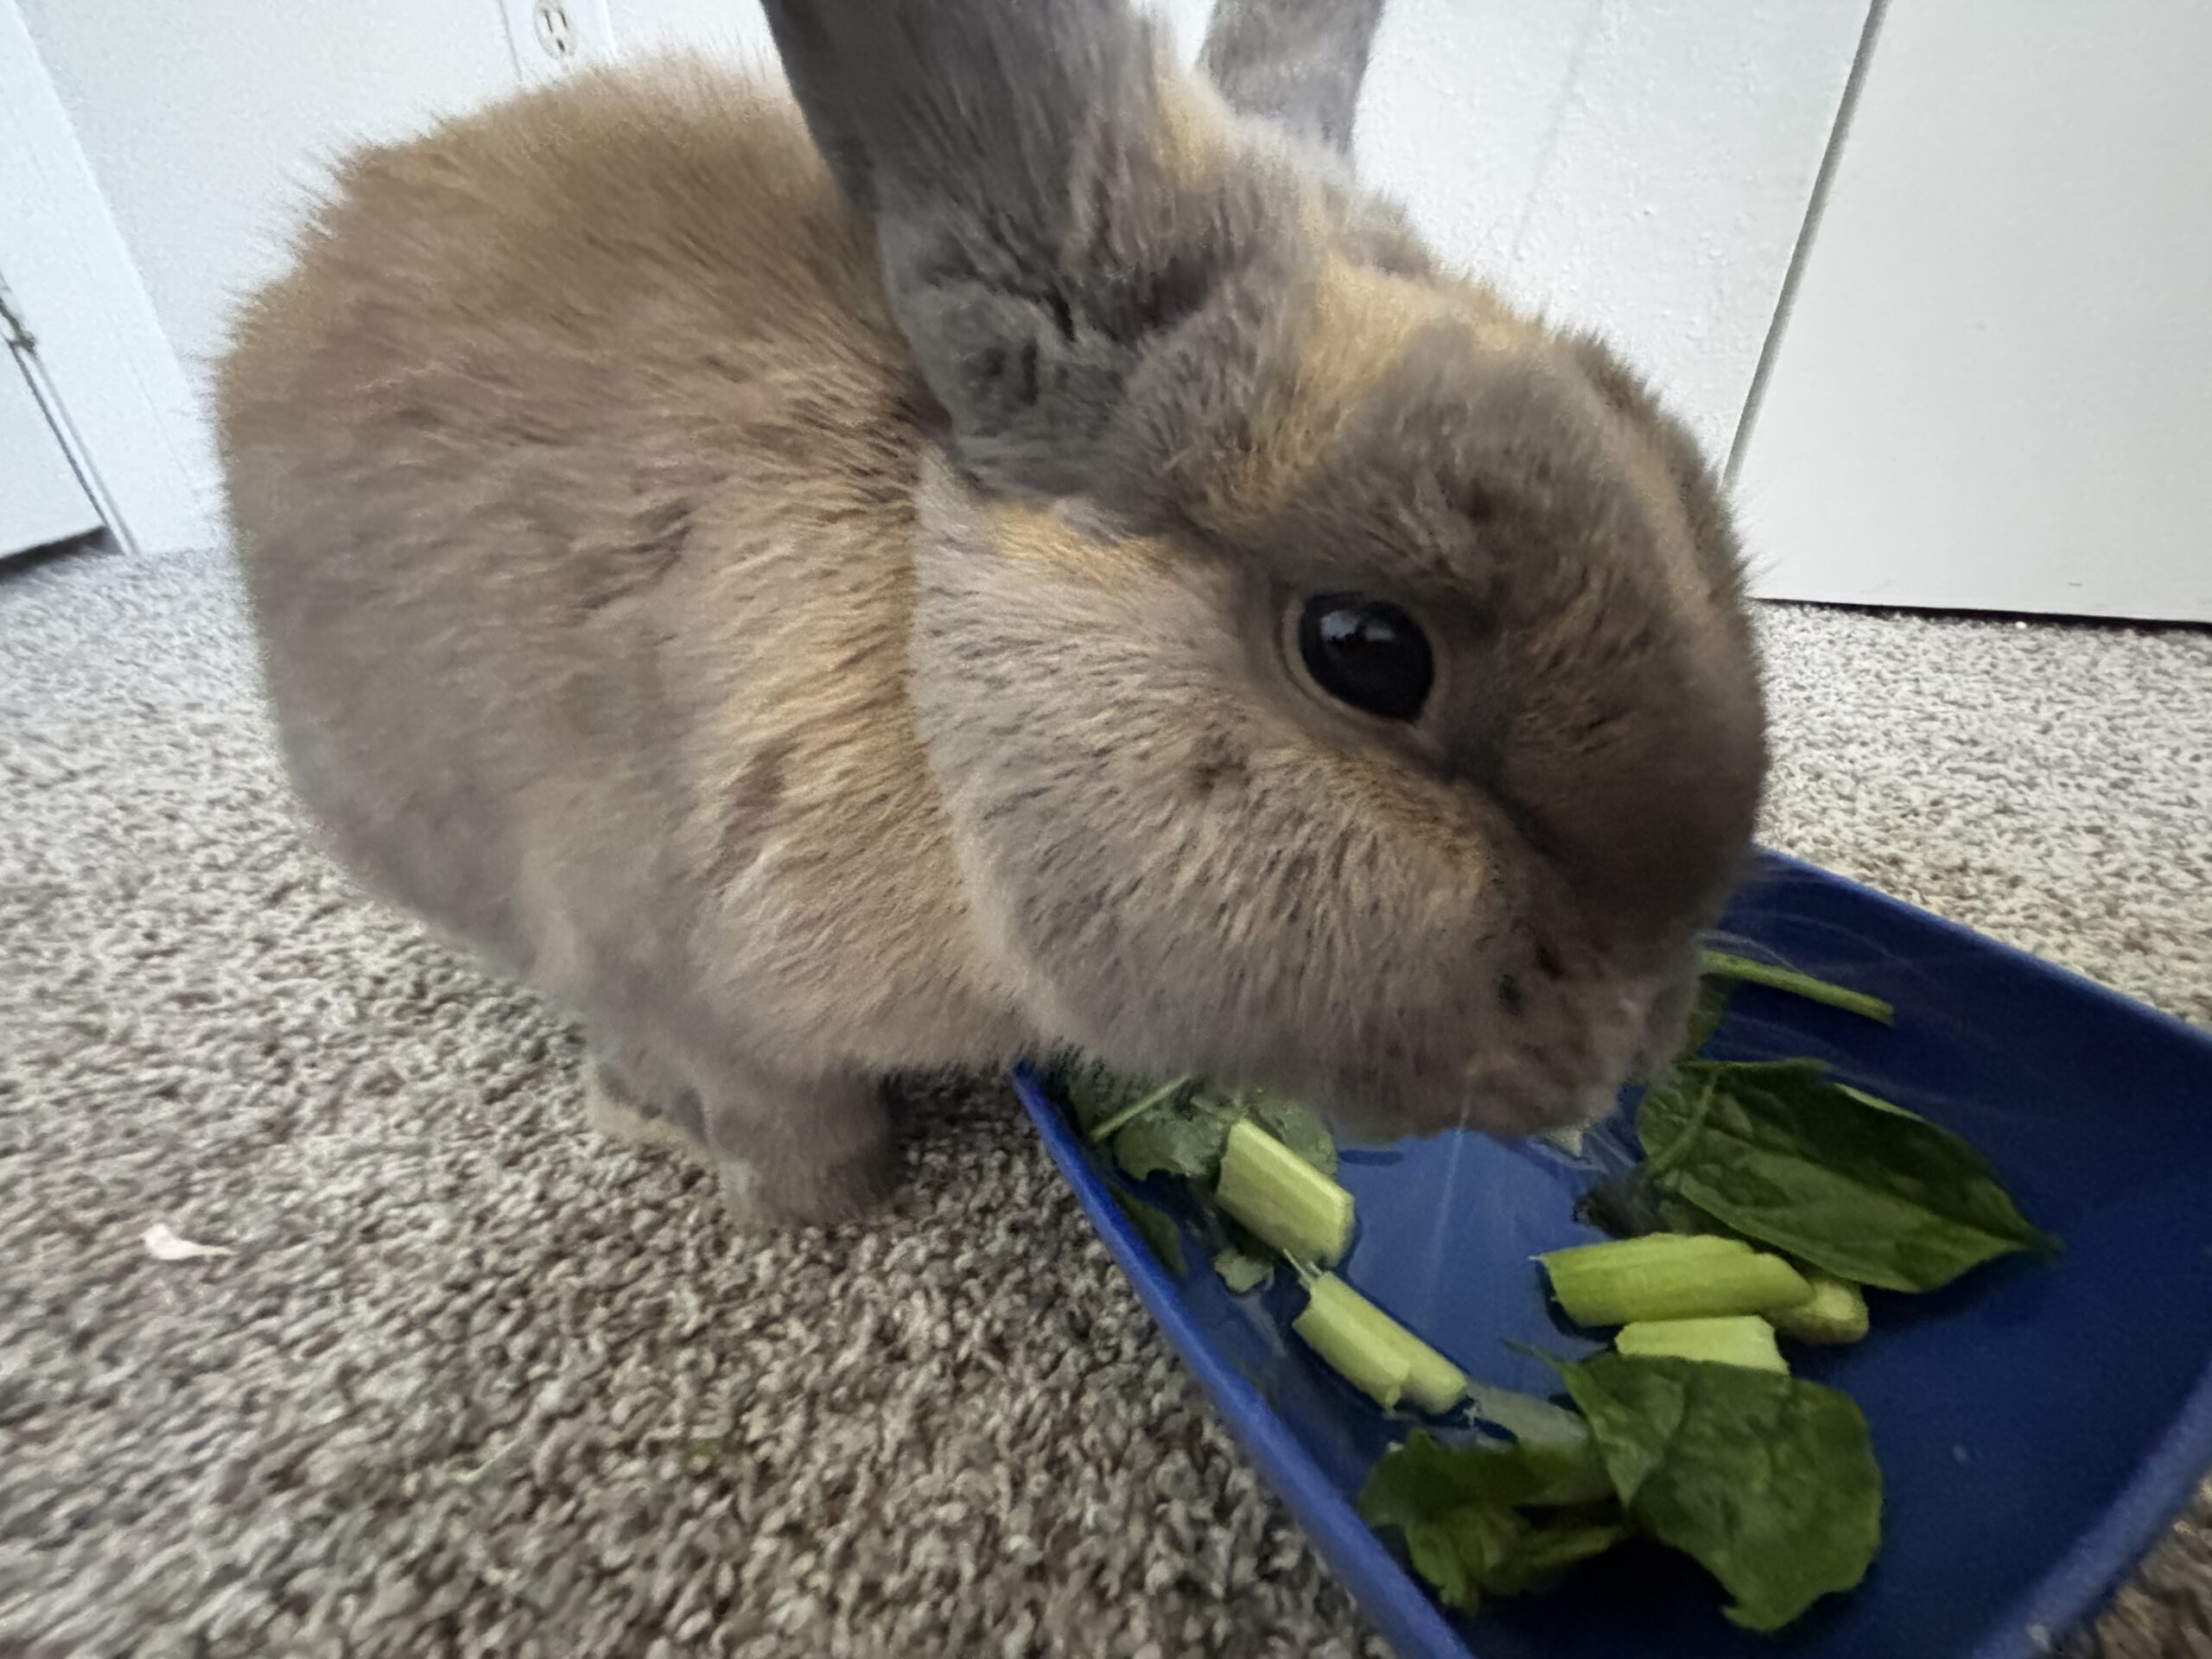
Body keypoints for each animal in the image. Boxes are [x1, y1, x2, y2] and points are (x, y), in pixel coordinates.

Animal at [215, 0, 1767, 1227]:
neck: (926, 668)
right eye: (1368, 654)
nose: (1635, 1046)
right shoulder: (685, 979)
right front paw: (818, 1209)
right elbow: (771, 1110)